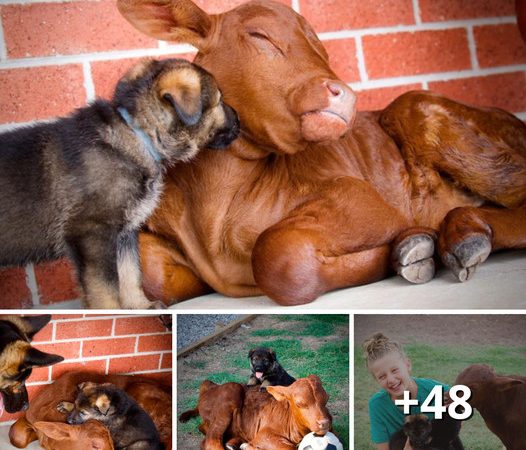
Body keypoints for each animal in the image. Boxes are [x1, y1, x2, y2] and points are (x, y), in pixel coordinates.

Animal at [0, 57, 241, 310]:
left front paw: (140, 306)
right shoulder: (92, 231)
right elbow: (105, 287)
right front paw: (109, 312)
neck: (138, 134)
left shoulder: (125, 232)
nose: (239, 119)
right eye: (219, 100)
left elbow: (130, 273)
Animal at [118, 0, 526, 306]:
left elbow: (277, 256)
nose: (345, 95)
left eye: (323, 50)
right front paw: (409, 247)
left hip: (422, 109)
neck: (213, 207)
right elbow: (149, 272)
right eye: (259, 35)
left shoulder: (360, 198)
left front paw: (396, 252)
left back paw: (461, 233)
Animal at [179, 376, 332, 450]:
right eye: (300, 403)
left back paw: (233, 444)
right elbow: (288, 448)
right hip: (231, 391)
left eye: (326, 399)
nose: (324, 423)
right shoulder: (264, 435)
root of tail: (210, 386)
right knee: (211, 441)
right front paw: (250, 447)